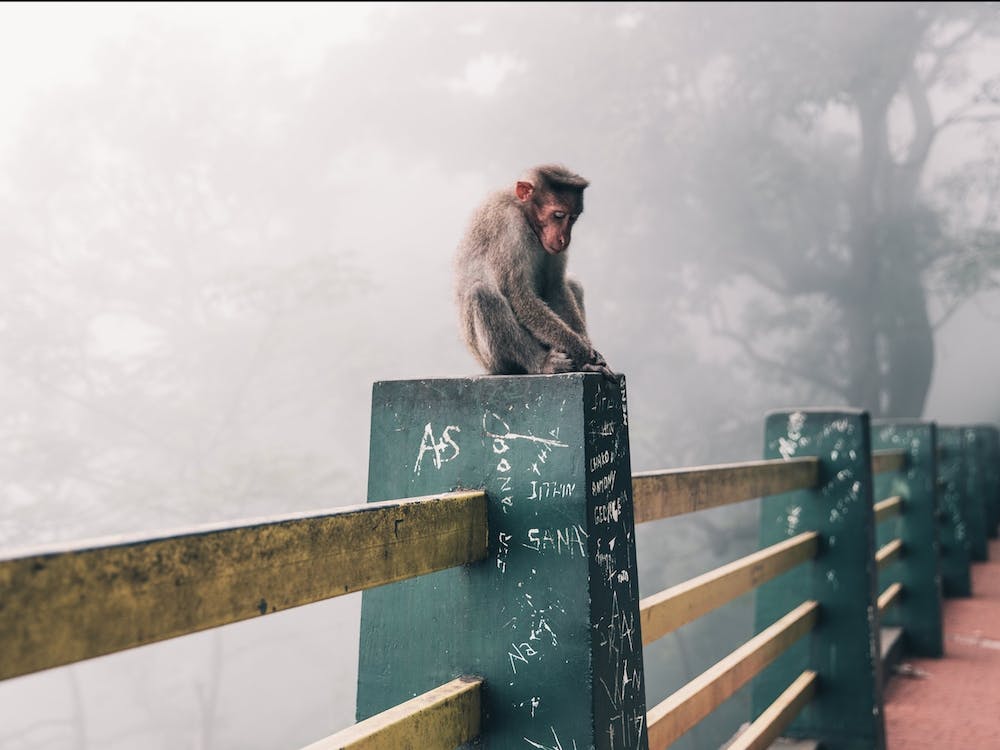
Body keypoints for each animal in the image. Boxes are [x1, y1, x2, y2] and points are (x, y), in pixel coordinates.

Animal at [454, 164, 614, 378]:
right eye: (558, 215)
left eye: (573, 218)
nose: (565, 239)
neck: (524, 212)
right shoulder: (511, 228)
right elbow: (520, 297)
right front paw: (583, 354)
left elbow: (555, 286)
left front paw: (586, 349)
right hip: (491, 360)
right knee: (482, 293)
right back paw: (541, 362)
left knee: (573, 283)